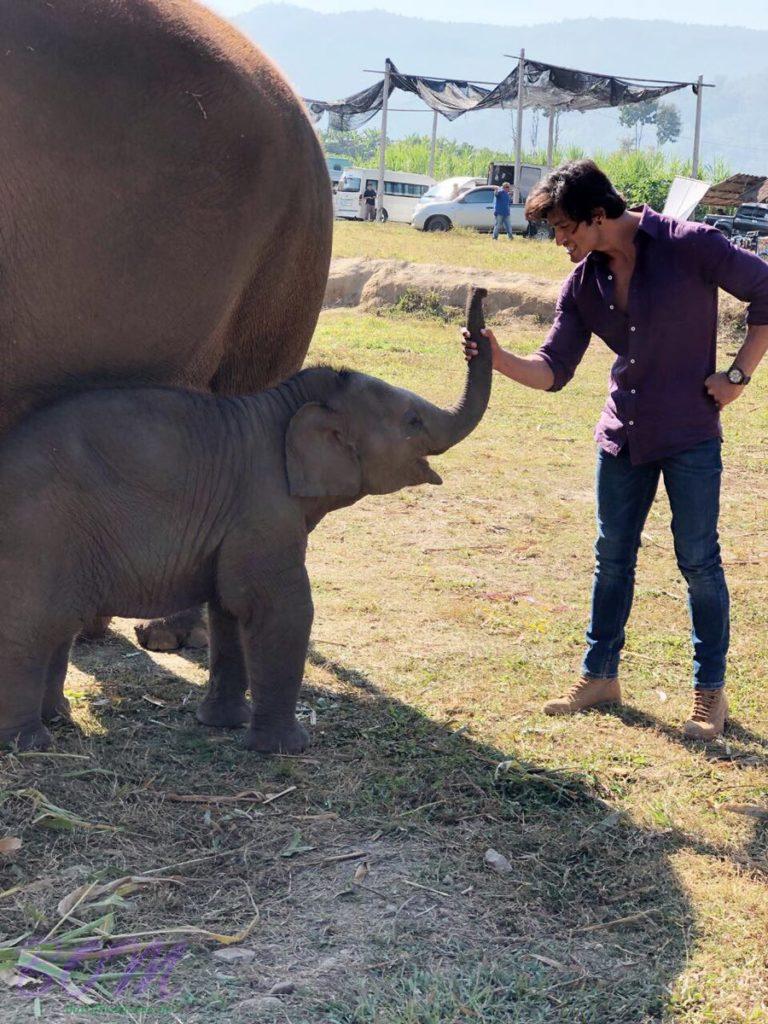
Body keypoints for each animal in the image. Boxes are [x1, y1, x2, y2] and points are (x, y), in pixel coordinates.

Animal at [0, 288, 493, 753]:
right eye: (412, 421)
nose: (480, 298)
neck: (284, 406)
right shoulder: (264, 508)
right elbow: (279, 607)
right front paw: (288, 748)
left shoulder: (235, 525)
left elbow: (229, 609)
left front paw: (222, 723)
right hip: (39, 533)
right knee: (30, 626)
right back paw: (30, 744)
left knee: (57, 627)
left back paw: (59, 719)